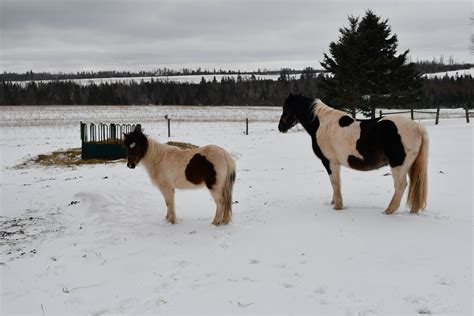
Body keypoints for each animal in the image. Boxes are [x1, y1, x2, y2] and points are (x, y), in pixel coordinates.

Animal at [278, 92, 430, 214]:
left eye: (286, 107)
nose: (280, 127)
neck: (321, 124)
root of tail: (417, 127)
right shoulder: (335, 163)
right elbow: (337, 182)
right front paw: (334, 202)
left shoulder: (329, 161)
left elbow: (334, 182)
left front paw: (338, 206)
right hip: (409, 166)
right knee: (415, 184)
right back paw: (413, 210)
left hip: (398, 166)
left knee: (401, 186)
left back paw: (388, 211)